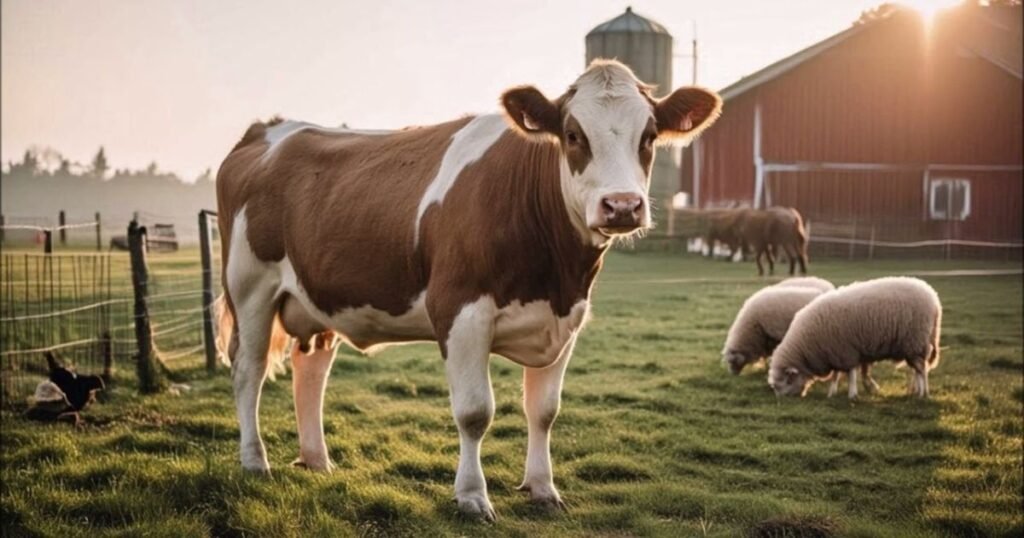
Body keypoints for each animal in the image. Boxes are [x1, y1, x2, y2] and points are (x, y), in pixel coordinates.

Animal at [215, 59, 721, 520]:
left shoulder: (566, 321)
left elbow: (545, 411)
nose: (622, 206)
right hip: (249, 286)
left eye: (649, 137)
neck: (556, 271)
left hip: (318, 297)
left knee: (311, 369)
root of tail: (267, 130)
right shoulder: (460, 311)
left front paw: (543, 489)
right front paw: (473, 497)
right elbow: (475, 412)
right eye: (574, 135)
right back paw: (255, 461)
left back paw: (317, 459)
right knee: (248, 370)